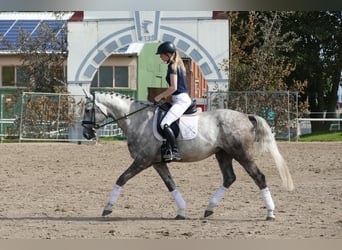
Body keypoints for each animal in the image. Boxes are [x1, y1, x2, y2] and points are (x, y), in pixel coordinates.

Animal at [82, 91, 294, 220]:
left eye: (87, 109)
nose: (86, 134)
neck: (137, 120)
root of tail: (245, 116)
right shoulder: (157, 162)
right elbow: (171, 184)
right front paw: (181, 211)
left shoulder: (142, 161)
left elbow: (121, 178)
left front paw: (107, 208)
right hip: (223, 154)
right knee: (229, 178)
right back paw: (209, 208)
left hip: (242, 154)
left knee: (259, 177)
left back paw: (270, 213)